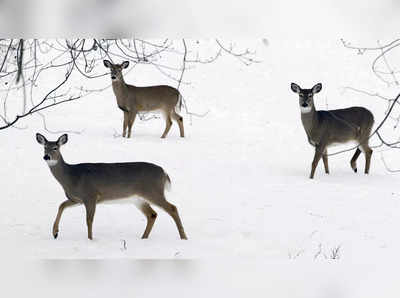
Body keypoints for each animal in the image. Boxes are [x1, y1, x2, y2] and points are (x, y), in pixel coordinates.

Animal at [35, 133, 188, 240]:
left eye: (55, 148)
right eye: (44, 147)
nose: (46, 157)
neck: (72, 177)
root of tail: (164, 172)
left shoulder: (91, 195)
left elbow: (89, 220)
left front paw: (90, 239)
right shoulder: (77, 199)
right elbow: (61, 205)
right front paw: (55, 232)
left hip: (153, 191)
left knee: (172, 208)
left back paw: (183, 237)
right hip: (138, 199)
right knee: (152, 214)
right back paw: (143, 238)